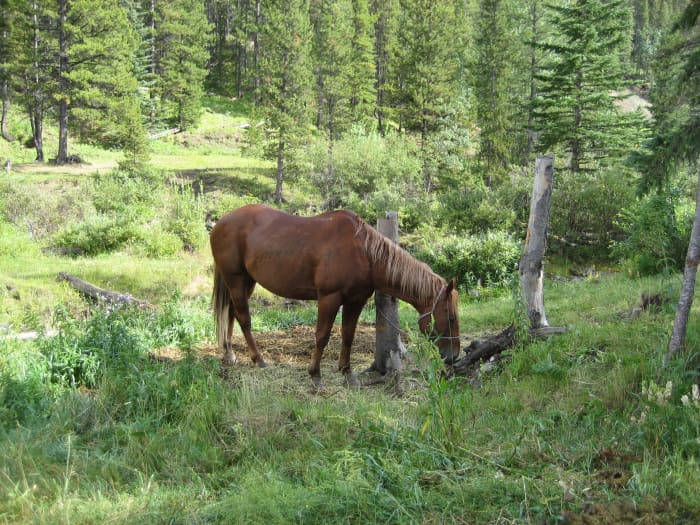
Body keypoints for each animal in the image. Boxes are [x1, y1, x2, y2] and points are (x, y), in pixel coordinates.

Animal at [209, 204, 460, 384]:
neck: (363, 252)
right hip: (235, 279)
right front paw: (315, 374)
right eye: (450, 318)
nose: (454, 357)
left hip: (246, 282)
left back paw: (229, 354)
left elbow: (348, 335)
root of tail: (220, 223)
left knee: (231, 313)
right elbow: (322, 335)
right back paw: (258, 359)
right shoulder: (329, 298)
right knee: (244, 318)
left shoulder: (356, 301)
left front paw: (347, 372)